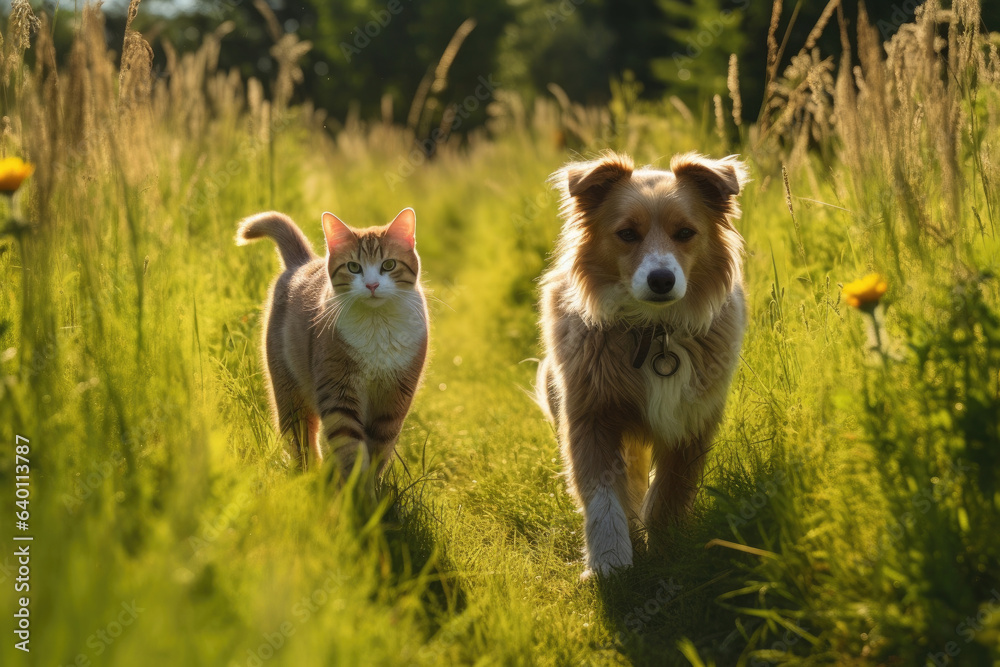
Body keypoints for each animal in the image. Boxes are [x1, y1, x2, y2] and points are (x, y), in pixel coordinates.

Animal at [236, 207, 428, 474]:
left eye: (389, 265)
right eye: (354, 267)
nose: (372, 285)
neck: (377, 325)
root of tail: (302, 263)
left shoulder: (395, 399)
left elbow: (379, 446)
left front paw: (372, 485)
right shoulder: (339, 392)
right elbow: (350, 448)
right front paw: (356, 484)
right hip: (289, 393)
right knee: (301, 438)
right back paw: (308, 475)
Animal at [536, 151, 748, 580]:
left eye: (685, 232)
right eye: (627, 234)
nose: (661, 279)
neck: (655, 332)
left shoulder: (692, 421)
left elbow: (672, 490)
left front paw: (666, 547)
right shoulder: (590, 415)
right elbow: (602, 495)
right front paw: (610, 561)